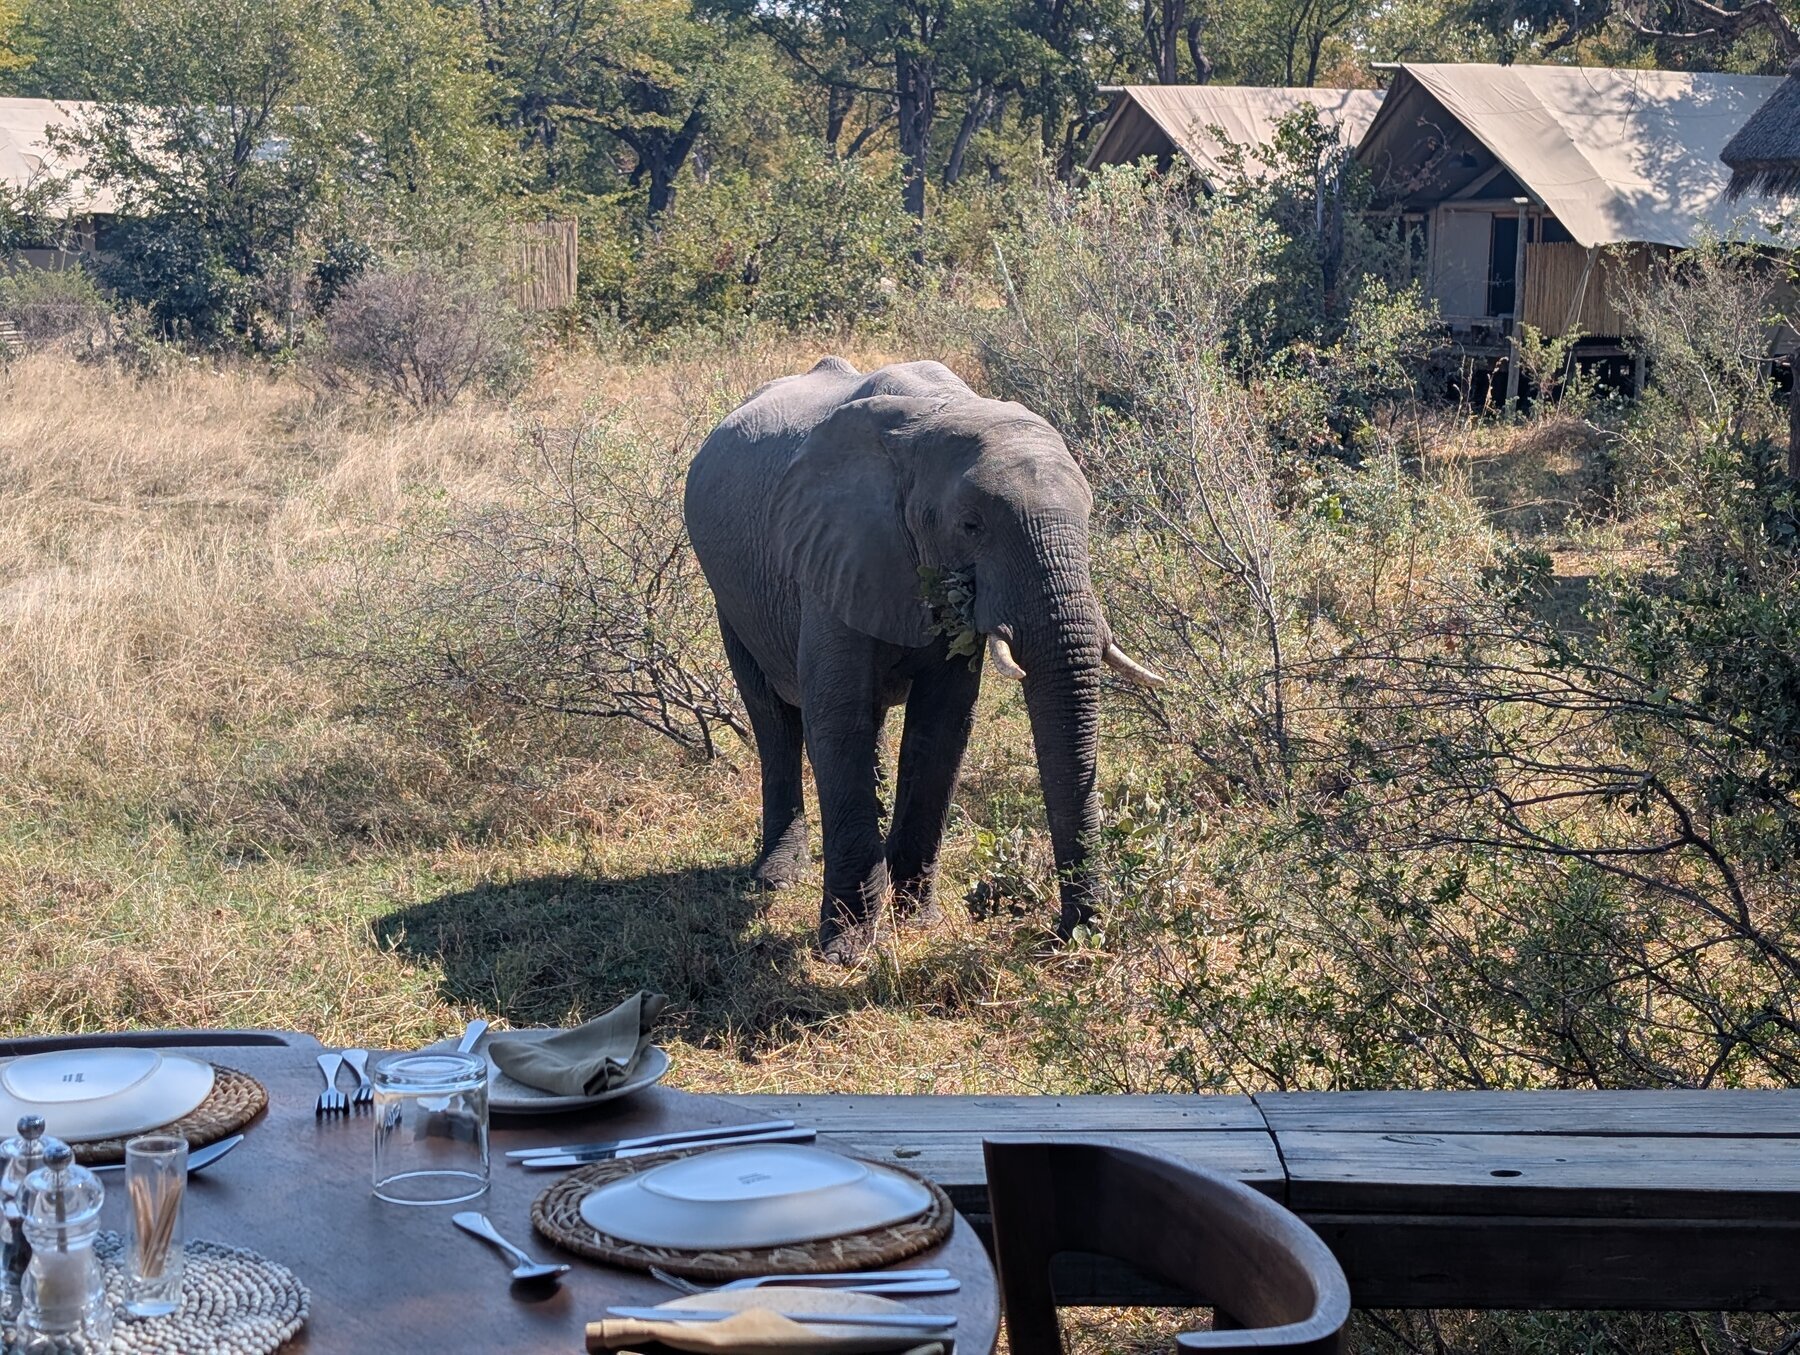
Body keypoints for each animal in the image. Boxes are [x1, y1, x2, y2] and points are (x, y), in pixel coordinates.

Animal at [684, 357, 1163, 962]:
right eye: (972, 525)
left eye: (1091, 516)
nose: (1071, 936)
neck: (936, 416)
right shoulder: (832, 553)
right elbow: (837, 718)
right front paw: (845, 950)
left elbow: (942, 726)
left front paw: (916, 923)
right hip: (730, 595)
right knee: (774, 720)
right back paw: (775, 877)